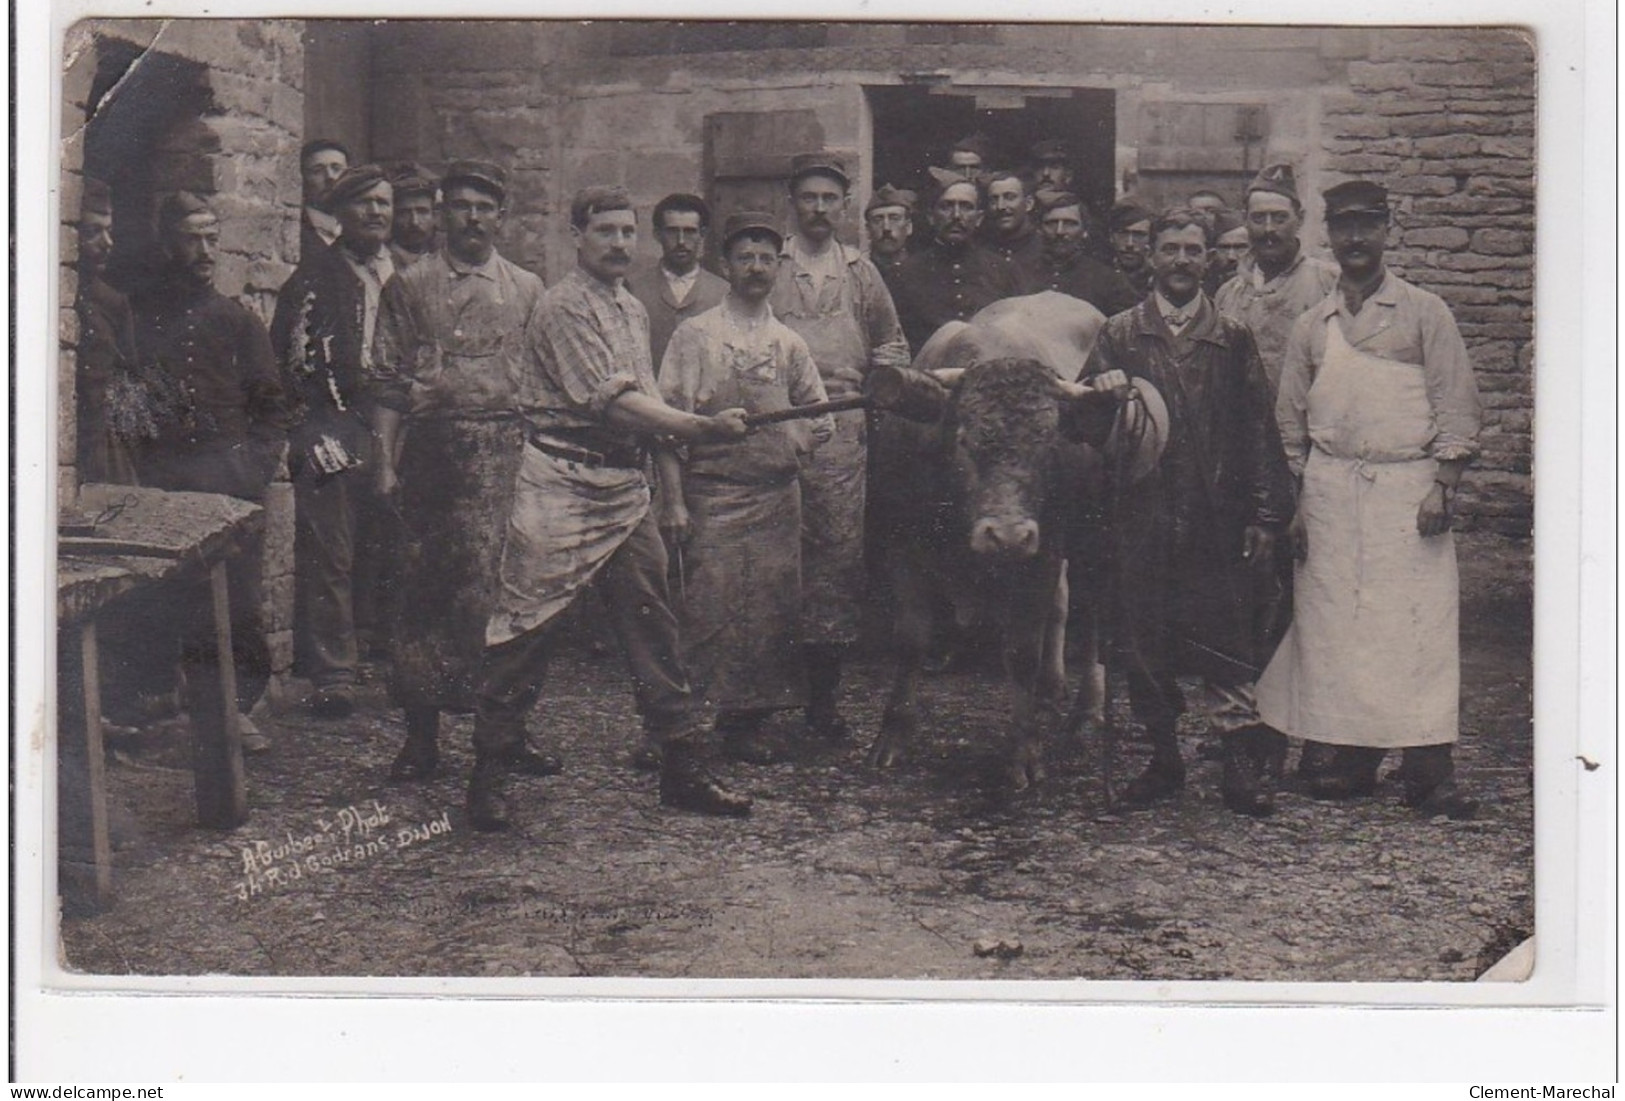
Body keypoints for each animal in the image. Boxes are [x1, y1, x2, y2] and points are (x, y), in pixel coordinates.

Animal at [871, 289, 1150, 789]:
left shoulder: (1040, 555)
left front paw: (1024, 752)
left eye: (1048, 442)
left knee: (1092, 622)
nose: (1007, 535)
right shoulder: (902, 545)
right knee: (1061, 608)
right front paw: (893, 735)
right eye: (964, 440)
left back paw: (1085, 713)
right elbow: (911, 639)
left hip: (1091, 542)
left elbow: (1021, 651)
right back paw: (1050, 690)